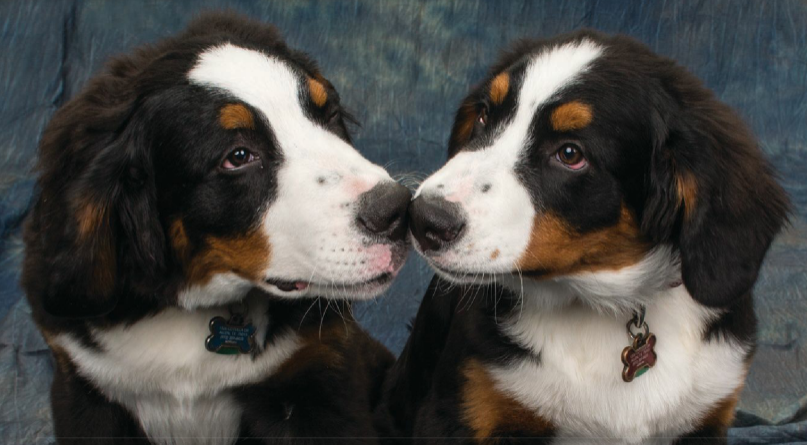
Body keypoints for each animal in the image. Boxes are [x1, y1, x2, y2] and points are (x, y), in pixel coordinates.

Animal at [378, 29, 788, 442]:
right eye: (483, 116)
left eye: (571, 153)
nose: (423, 218)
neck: (594, 300)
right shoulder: (464, 406)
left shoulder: (707, 413)